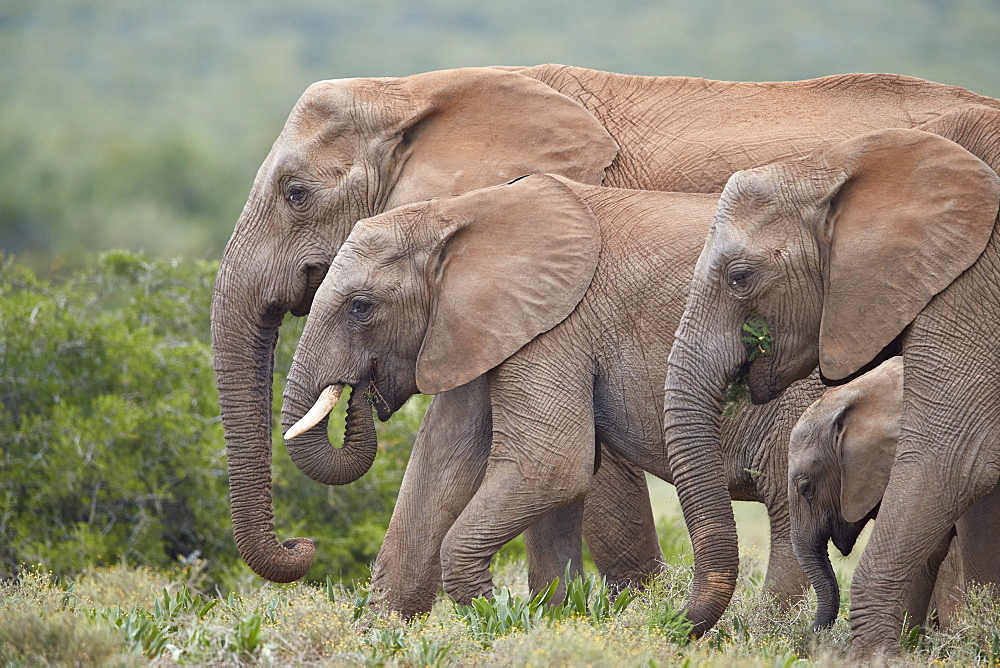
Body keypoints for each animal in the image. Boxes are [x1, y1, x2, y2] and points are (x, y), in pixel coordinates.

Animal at [280, 172, 820, 620]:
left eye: (361, 306)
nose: (299, 545)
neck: (463, 212)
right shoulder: (485, 328)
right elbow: (439, 467)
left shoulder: (556, 326)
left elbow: (550, 467)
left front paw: (507, 620)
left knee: (789, 511)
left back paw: (770, 635)